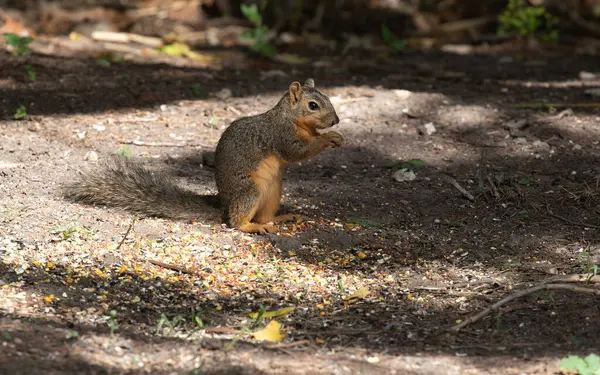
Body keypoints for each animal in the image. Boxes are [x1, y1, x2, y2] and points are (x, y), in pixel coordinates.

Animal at [61, 78, 344, 234]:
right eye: (313, 106)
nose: (336, 120)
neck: (291, 118)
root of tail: (224, 203)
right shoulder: (280, 135)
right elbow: (297, 151)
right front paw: (329, 138)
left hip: (273, 191)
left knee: (264, 214)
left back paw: (280, 218)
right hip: (249, 191)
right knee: (234, 221)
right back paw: (251, 226)